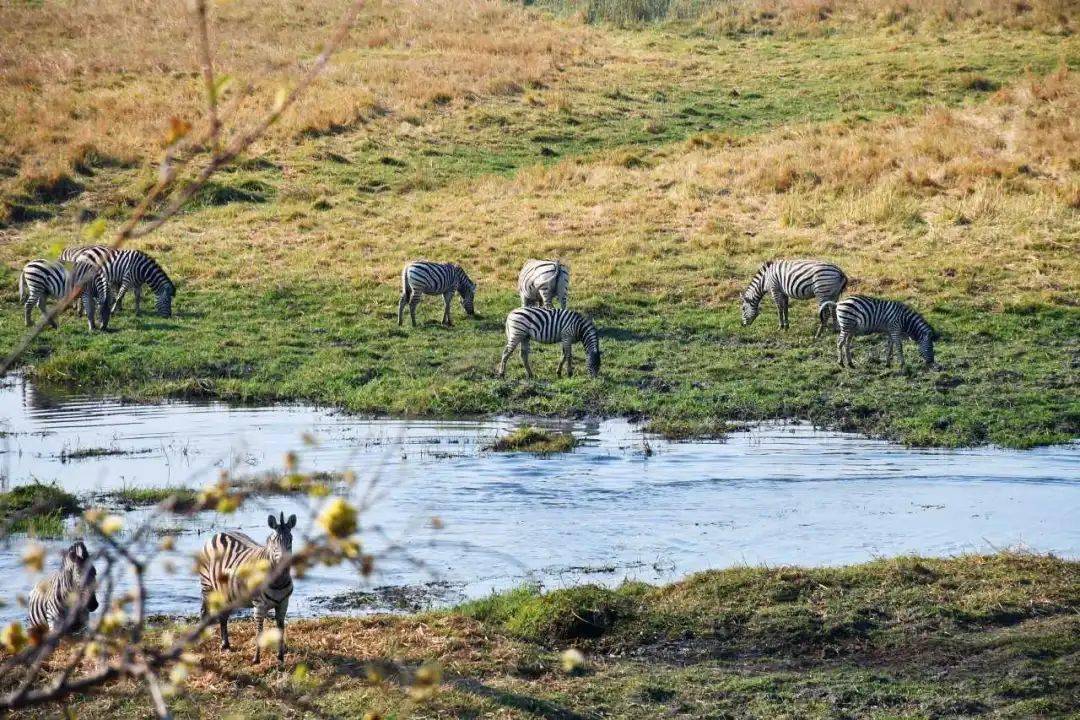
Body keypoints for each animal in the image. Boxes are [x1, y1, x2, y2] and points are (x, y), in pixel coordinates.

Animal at [197, 511, 295, 664]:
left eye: (290, 539)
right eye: (273, 542)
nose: (283, 563)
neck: (278, 581)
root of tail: (219, 533)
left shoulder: (283, 604)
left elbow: (280, 629)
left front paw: (280, 657)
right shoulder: (259, 606)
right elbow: (259, 631)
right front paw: (256, 659)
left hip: (227, 593)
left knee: (223, 616)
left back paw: (225, 645)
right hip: (207, 586)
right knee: (204, 612)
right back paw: (201, 642)